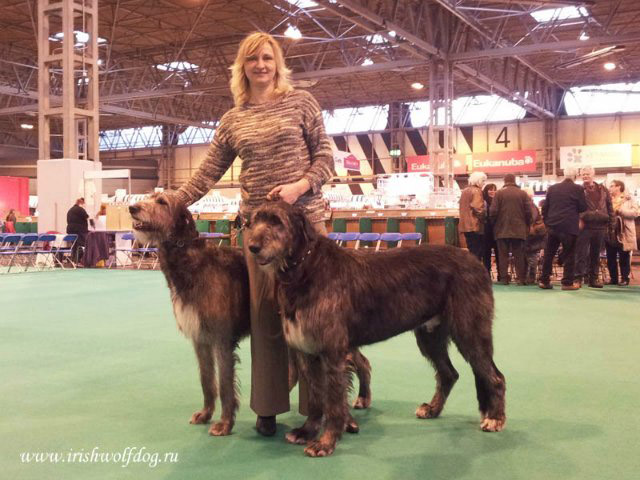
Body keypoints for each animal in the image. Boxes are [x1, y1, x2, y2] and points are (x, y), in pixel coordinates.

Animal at [245, 202, 504, 458]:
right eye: (253, 221)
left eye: (277, 222)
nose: (252, 247)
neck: (306, 267)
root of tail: (477, 262)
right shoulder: (307, 353)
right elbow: (317, 398)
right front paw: (307, 431)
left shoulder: (332, 352)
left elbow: (334, 401)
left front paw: (326, 442)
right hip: (430, 335)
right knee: (449, 374)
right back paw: (433, 409)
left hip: (470, 330)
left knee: (494, 375)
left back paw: (495, 418)